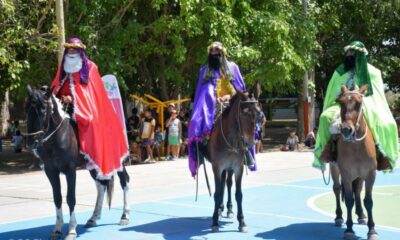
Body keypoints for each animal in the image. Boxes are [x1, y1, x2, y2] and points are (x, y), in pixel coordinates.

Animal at [25, 86, 130, 240]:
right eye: (26, 109)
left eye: (43, 109)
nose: (31, 142)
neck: (56, 138)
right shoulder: (50, 171)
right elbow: (57, 198)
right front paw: (57, 229)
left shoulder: (70, 170)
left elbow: (70, 198)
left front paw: (71, 230)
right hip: (92, 166)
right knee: (101, 186)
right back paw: (93, 218)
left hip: (117, 161)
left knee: (124, 181)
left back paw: (125, 216)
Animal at [206, 82, 262, 232]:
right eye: (243, 113)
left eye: (259, 113)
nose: (249, 142)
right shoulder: (217, 167)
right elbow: (217, 193)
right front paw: (214, 220)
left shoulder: (238, 167)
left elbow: (238, 194)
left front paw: (241, 221)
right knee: (222, 186)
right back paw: (219, 209)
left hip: (229, 168)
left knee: (228, 183)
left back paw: (228, 209)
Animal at [334, 85, 378, 240]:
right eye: (340, 102)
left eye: (359, 103)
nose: (346, 130)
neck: (357, 147)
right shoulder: (346, 175)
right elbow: (348, 200)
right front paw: (349, 229)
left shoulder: (370, 174)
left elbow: (368, 201)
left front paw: (371, 230)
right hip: (334, 169)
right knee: (336, 189)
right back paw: (339, 217)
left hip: (359, 176)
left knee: (358, 191)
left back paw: (361, 215)